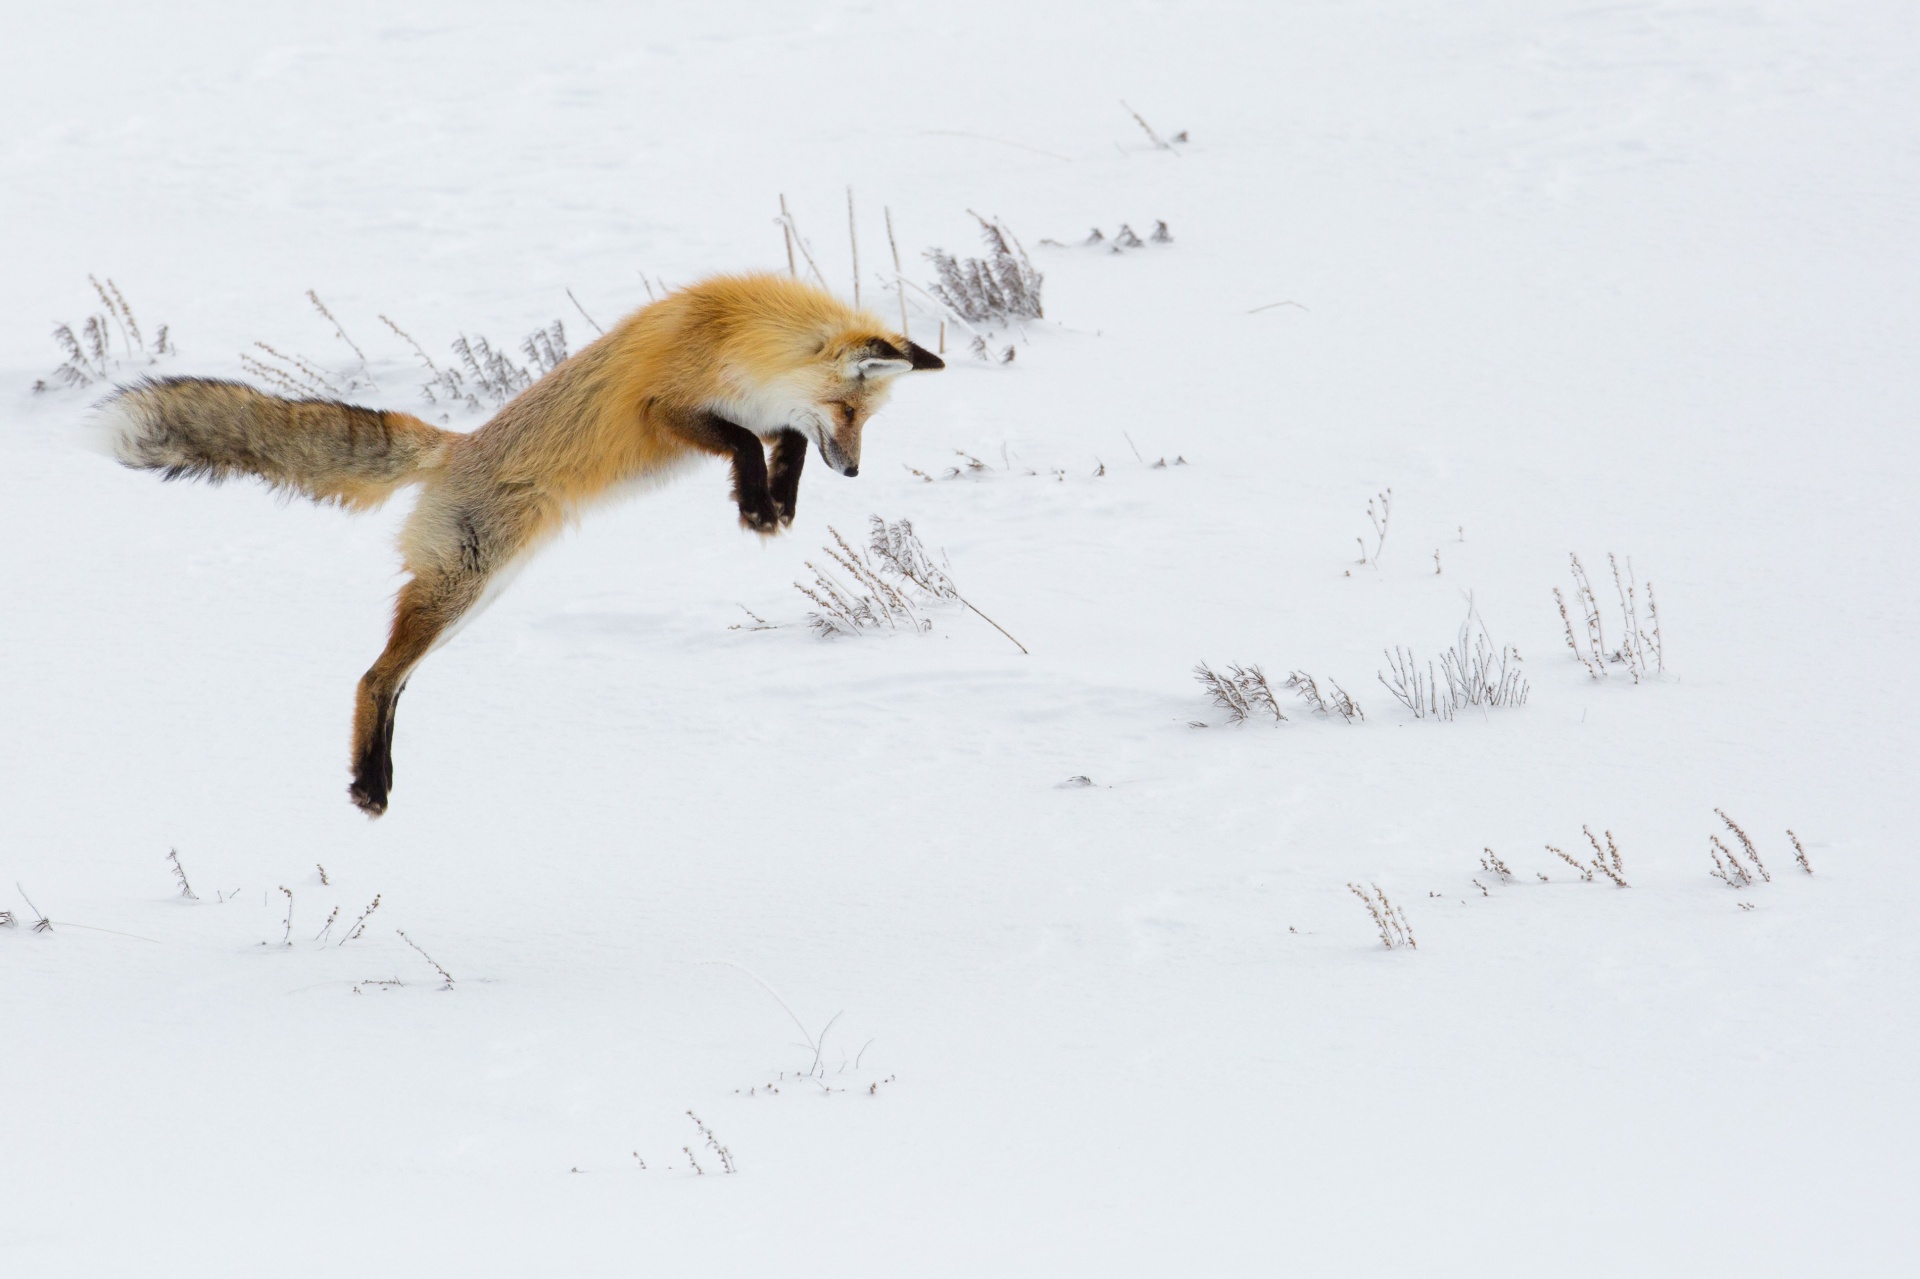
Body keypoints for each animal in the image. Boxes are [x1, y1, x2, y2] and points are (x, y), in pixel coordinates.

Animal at [99, 272, 943, 817]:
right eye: (850, 410)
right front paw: (759, 507)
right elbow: (740, 439)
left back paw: (375, 779)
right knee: (374, 677)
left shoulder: (767, 413)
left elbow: (782, 442)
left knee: (395, 680)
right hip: (464, 583)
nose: (855, 469)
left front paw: (777, 504)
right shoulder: (664, 408)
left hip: (477, 595)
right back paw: (370, 785)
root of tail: (455, 445)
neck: (738, 335)